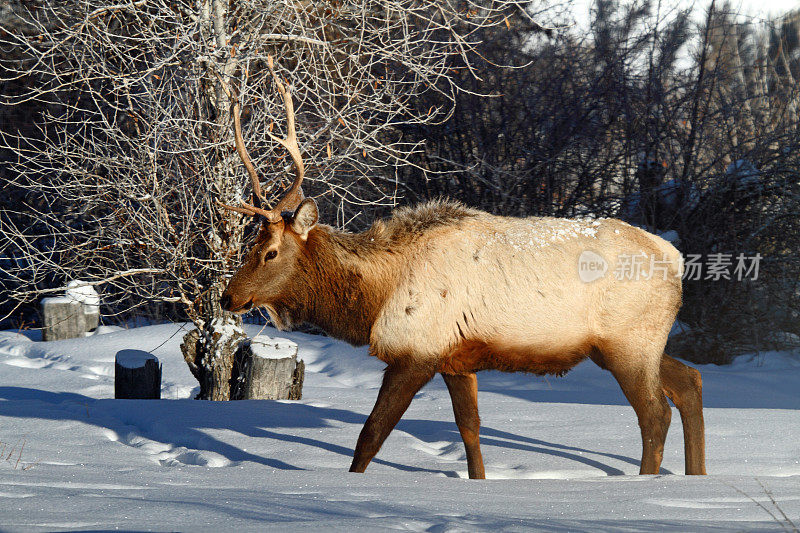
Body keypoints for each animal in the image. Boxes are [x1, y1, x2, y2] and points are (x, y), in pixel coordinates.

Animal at [217, 60, 708, 480]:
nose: (228, 296)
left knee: (655, 413)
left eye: (270, 252)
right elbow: (470, 432)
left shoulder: (416, 351)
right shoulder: (455, 358)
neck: (375, 298)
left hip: (628, 342)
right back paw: (696, 475)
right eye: (251, 244)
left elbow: (370, 436)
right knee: (689, 380)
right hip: (628, 344)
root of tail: (675, 257)